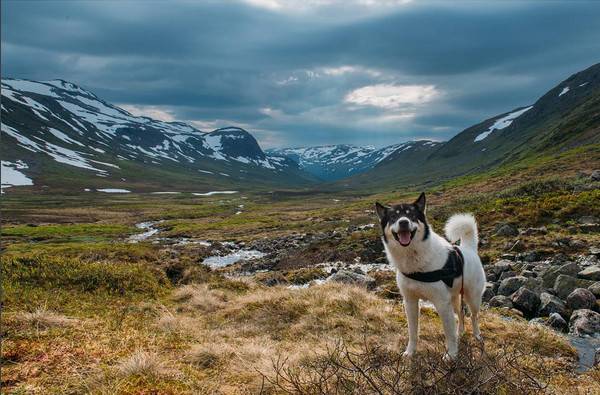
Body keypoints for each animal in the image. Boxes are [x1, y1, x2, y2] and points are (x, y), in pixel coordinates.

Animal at [376, 193, 488, 360]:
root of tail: (468, 249)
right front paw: (410, 352)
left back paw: (477, 335)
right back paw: (460, 332)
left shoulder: (442, 303)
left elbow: (449, 335)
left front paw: (451, 355)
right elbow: (413, 332)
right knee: (461, 313)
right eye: (394, 217)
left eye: (412, 215)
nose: (403, 222)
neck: (414, 258)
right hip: (454, 298)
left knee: (474, 316)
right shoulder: (410, 302)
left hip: (472, 298)